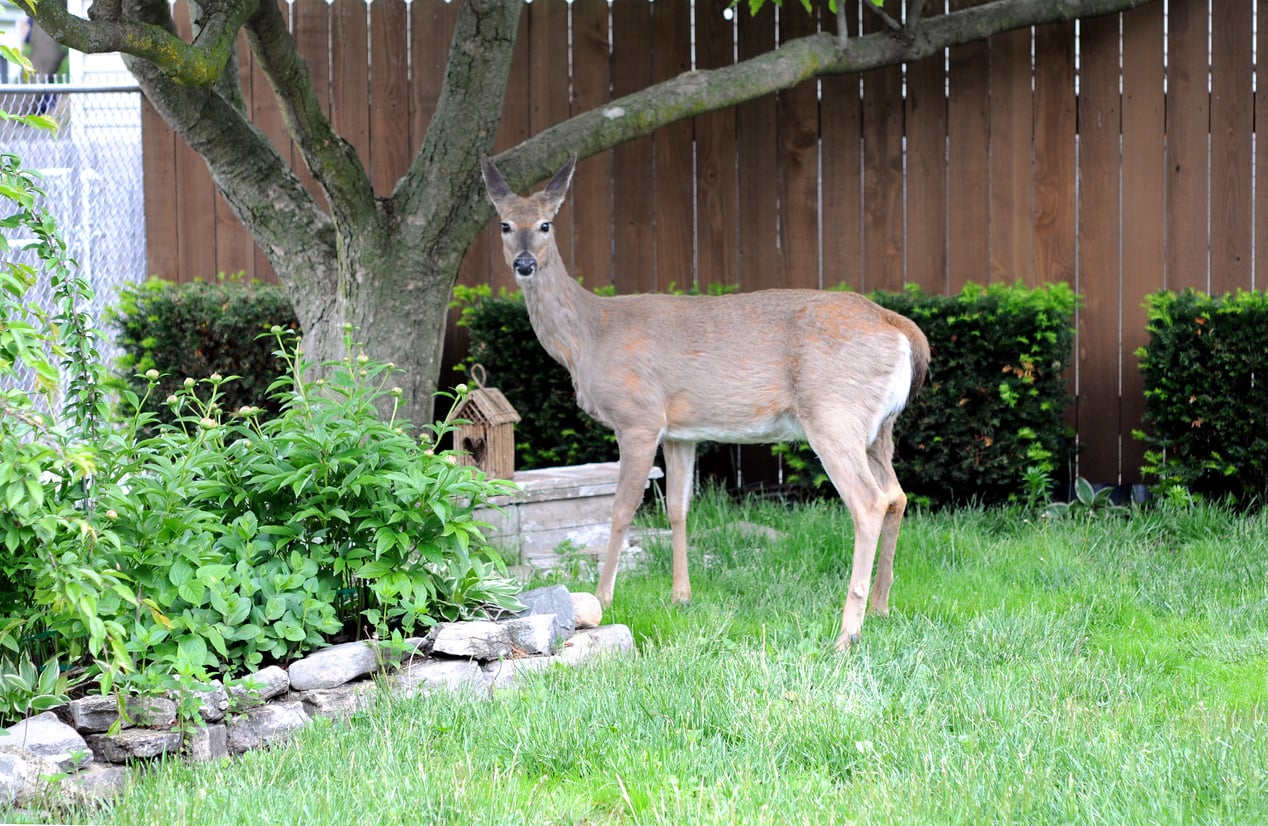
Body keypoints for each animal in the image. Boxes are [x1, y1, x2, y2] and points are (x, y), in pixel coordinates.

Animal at [481, 155, 930, 650]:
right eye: (504, 224)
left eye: (546, 223)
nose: (524, 263)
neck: (589, 336)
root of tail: (901, 329)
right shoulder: (680, 432)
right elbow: (678, 508)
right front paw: (681, 595)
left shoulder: (638, 417)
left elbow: (621, 510)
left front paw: (604, 597)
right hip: (879, 429)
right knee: (897, 495)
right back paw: (881, 608)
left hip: (833, 413)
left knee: (868, 502)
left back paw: (847, 632)